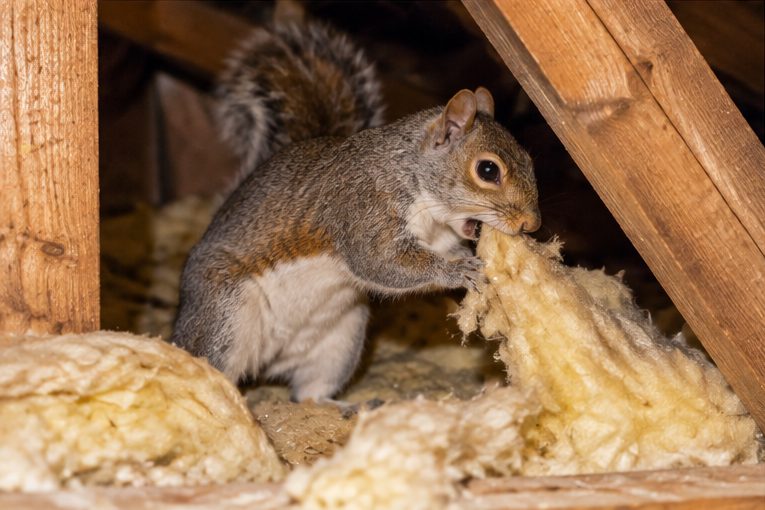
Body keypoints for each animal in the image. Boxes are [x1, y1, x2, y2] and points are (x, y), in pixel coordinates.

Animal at [171, 20, 541, 403]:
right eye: (488, 170)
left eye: (529, 161)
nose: (532, 223)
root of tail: (269, 362)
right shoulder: (362, 207)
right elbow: (380, 261)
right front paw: (457, 271)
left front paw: (464, 260)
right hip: (223, 316)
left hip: (340, 342)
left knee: (309, 393)